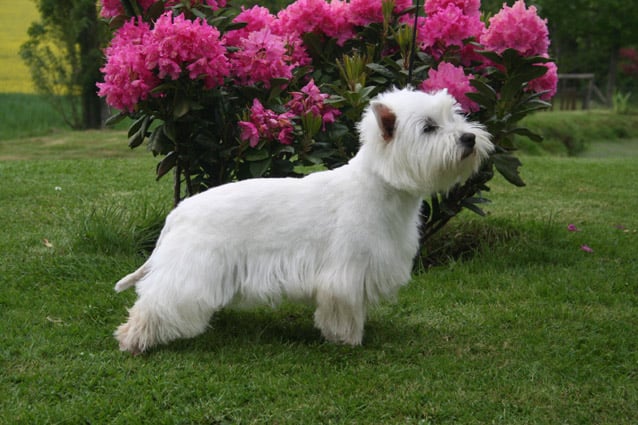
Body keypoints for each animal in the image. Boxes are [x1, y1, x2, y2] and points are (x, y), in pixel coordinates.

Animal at [114, 88, 493, 354]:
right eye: (428, 127)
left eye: (456, 116)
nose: (469, 138)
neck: (382, 187)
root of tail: (178, 212)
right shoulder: (345, 271)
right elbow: (343, 308)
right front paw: (348, 339)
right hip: (191, 268)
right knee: (155, 303)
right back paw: (132, 340)